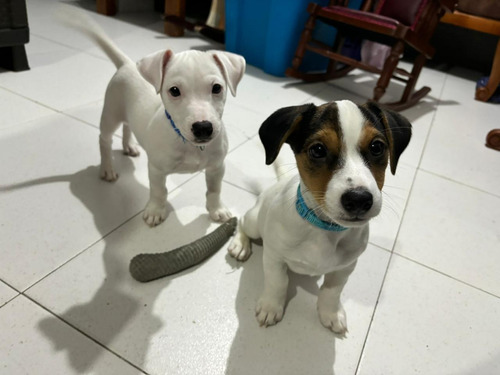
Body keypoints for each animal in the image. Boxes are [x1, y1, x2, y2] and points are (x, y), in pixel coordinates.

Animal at [65, 9, 245, 226]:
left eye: (217, 88)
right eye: (174, 91)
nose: (203, 127)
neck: (188, 144)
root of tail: (127, 64)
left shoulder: (217, 167)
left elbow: (214, 190)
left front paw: (217, 209)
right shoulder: (157, 169)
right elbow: (159, 191)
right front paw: (155, 211)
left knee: (128, 125)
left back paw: (129, 146)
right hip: (111, 114)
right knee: (104, 140)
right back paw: (107, 168)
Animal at [229, 100, 412, 334]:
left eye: (377, 147)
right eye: (317, 150)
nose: (359, 199)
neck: (323, 228)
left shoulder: (345, 268)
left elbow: (331, 291)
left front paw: (330, 313)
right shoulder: (273, 257)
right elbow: (277, 282)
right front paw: (271, 307)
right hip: (255, 221)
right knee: (242, 222)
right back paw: (240, 245)